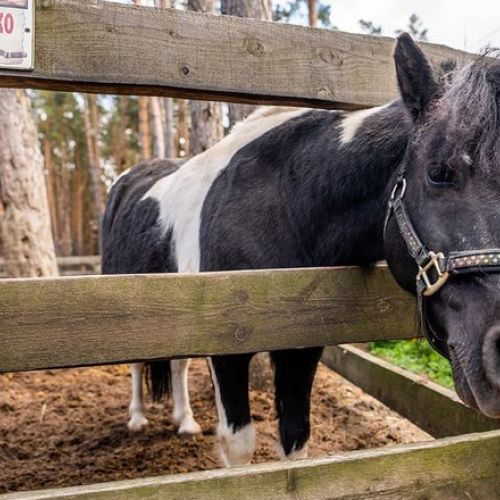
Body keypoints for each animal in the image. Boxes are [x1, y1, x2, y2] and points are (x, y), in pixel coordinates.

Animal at [101, 34, 500, 464]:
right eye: (437, 172)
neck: (285, 207)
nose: (499, 354)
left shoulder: (303, 346)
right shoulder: (225, 349)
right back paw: (137, 418)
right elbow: (239, 448)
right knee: (138, 365)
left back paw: (185, 421)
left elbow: (295, 441)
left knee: (177, 365)